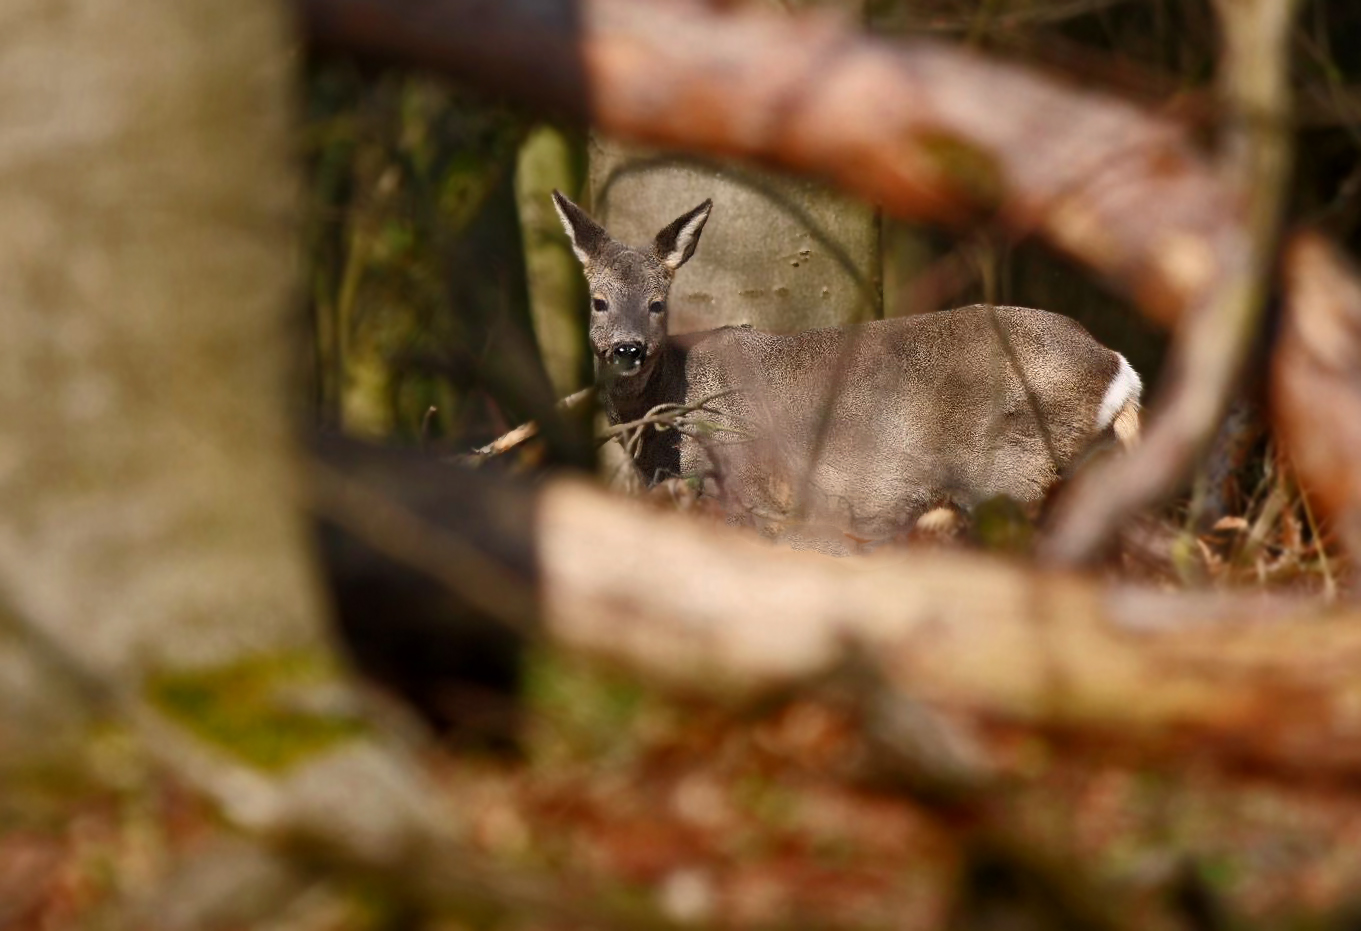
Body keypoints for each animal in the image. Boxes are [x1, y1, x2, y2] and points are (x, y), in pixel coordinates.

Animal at [547, 191, 1143, 549]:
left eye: (657, 303)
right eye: (598, 301)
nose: (627, 349)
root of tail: (1118, 366)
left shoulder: (740, 481)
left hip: (1013, 465)